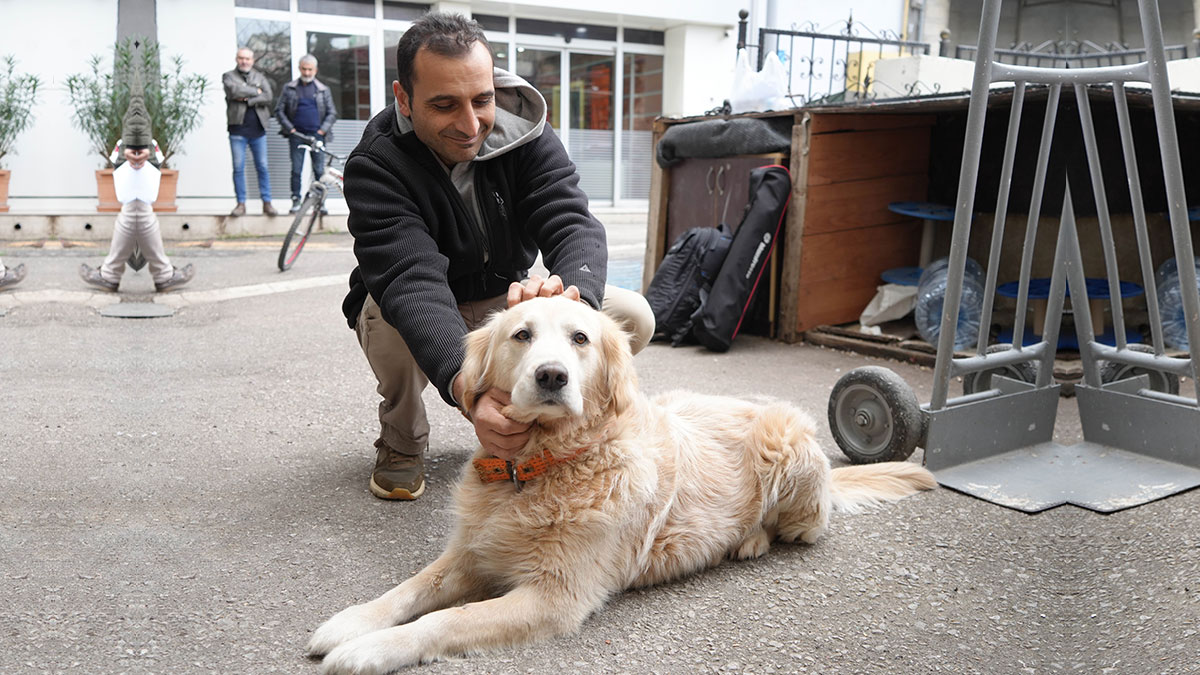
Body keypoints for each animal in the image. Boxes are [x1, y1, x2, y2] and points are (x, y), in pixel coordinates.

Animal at [304, 296, 931, 667]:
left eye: (580, 339)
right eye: (521, 335)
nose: (551, 376)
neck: (536, 468)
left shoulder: (556, 597)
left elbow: (444, 618)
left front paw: (372, 650)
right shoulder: (473, 551)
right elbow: (411, 589)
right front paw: (352, 623)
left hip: (787, 446)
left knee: (803, 528)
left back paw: (750, 540)